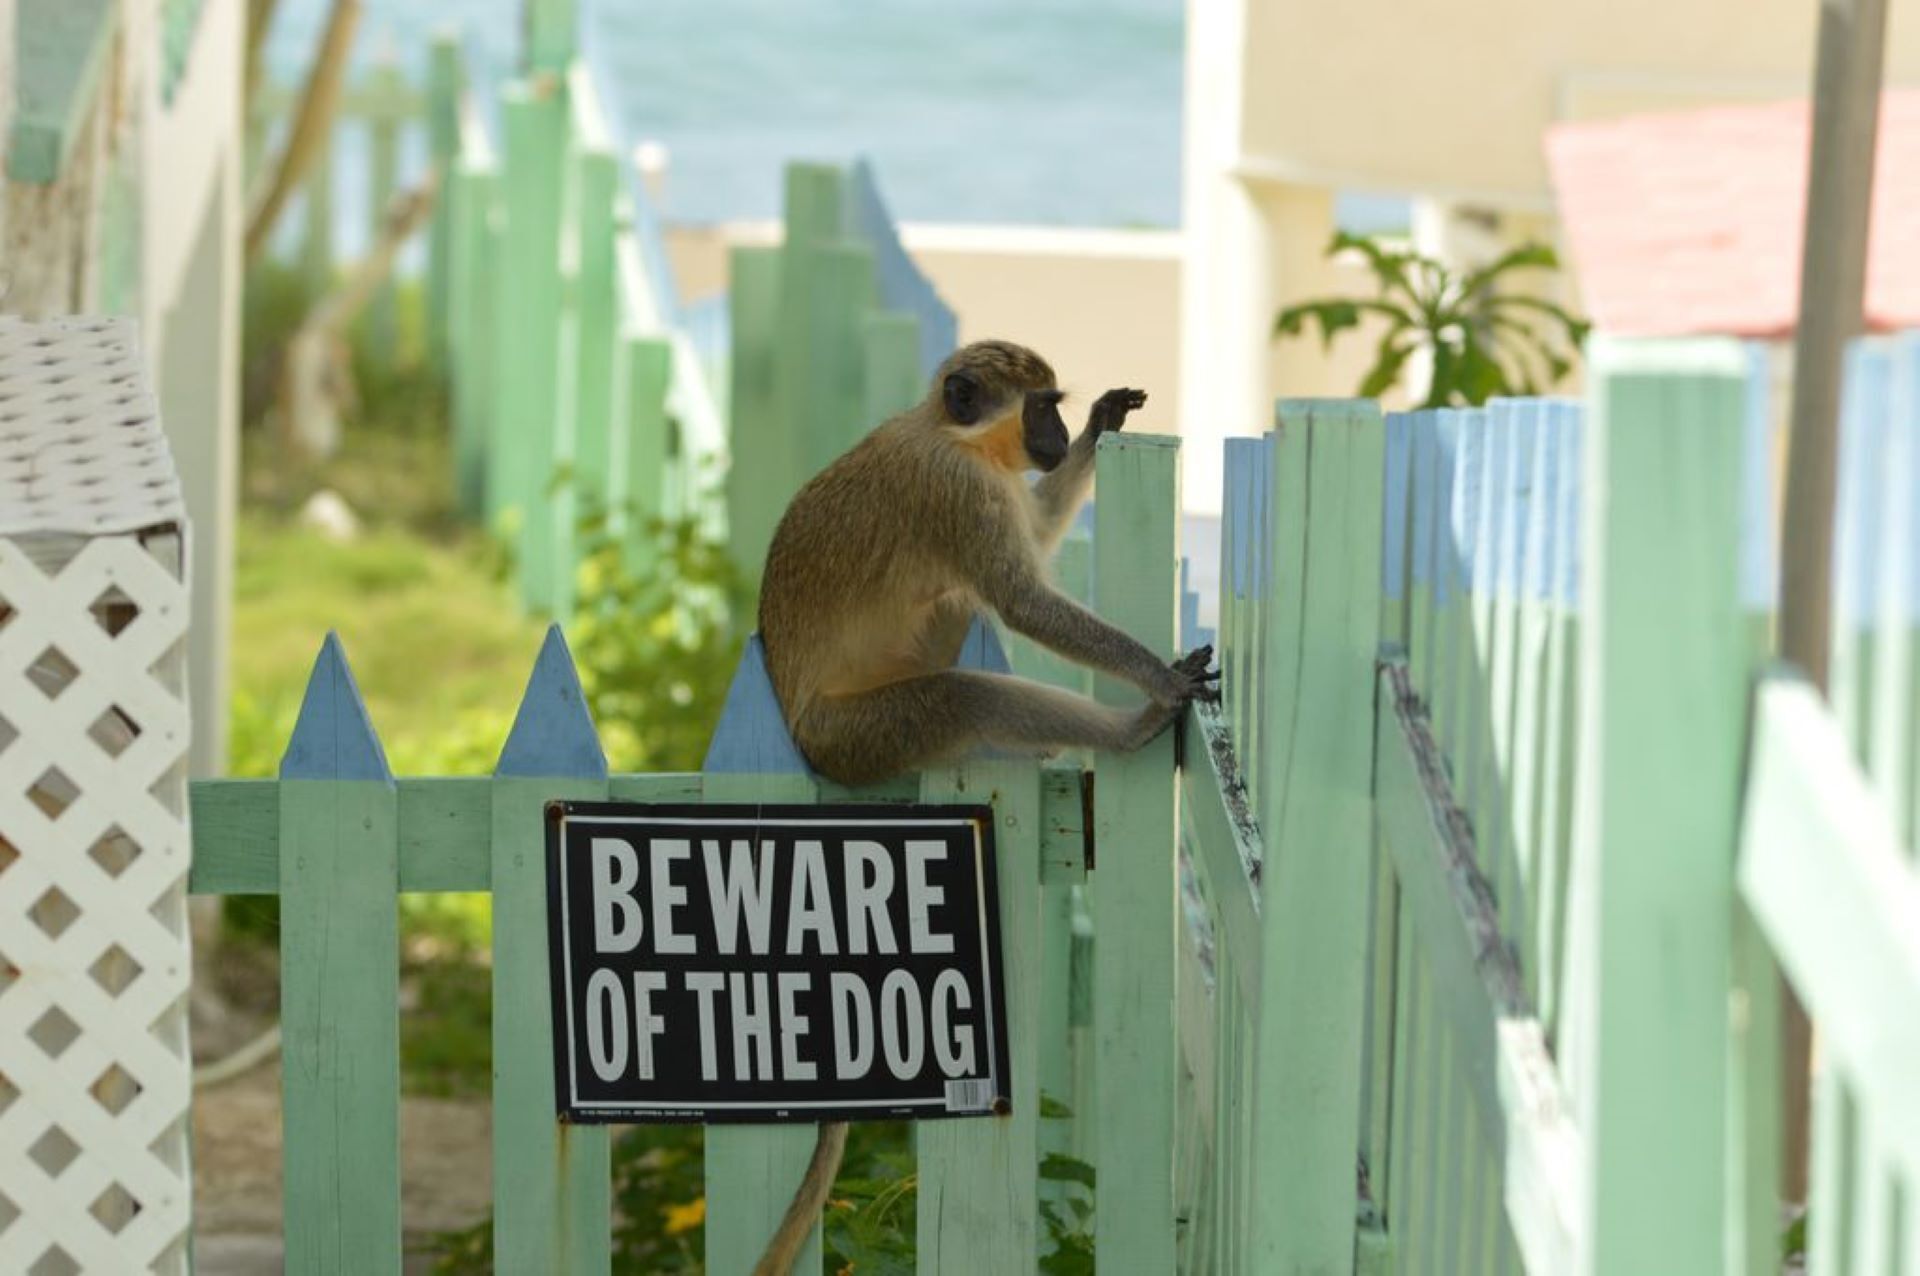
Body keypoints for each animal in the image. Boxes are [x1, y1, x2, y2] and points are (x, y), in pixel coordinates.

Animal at [746, 340, 1217, 1276]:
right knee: (967, 686)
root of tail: (808, 746)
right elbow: (1023, 600)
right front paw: (1157, 679)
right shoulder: (959, 496)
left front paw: (1103, 427)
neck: (951, 434)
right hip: (870, 735)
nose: (1060, 434)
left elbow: (1031, 537)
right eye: (1035, 406)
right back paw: (1127, 729)